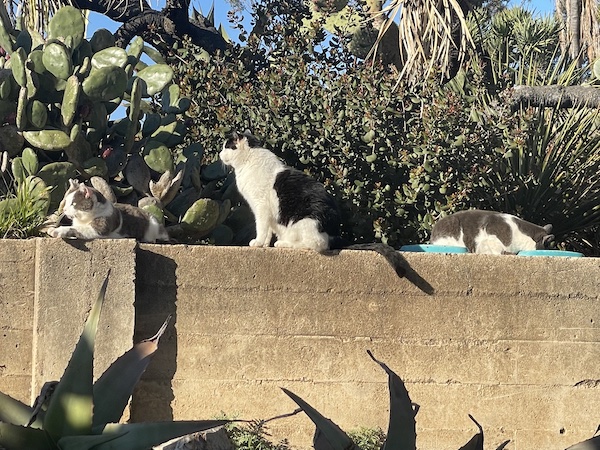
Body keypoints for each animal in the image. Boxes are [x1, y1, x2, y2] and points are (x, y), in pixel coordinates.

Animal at [218, 131, 406, 278]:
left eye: (226, 147)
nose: (219, 155)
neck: (247, 161)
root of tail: (334, 234)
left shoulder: (261, 207)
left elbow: (261, 227)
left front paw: (257, 243)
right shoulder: (268, 212)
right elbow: (269, 229)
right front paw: (264, 245)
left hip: (305, 220)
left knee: (315, 244)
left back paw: (285, 244)